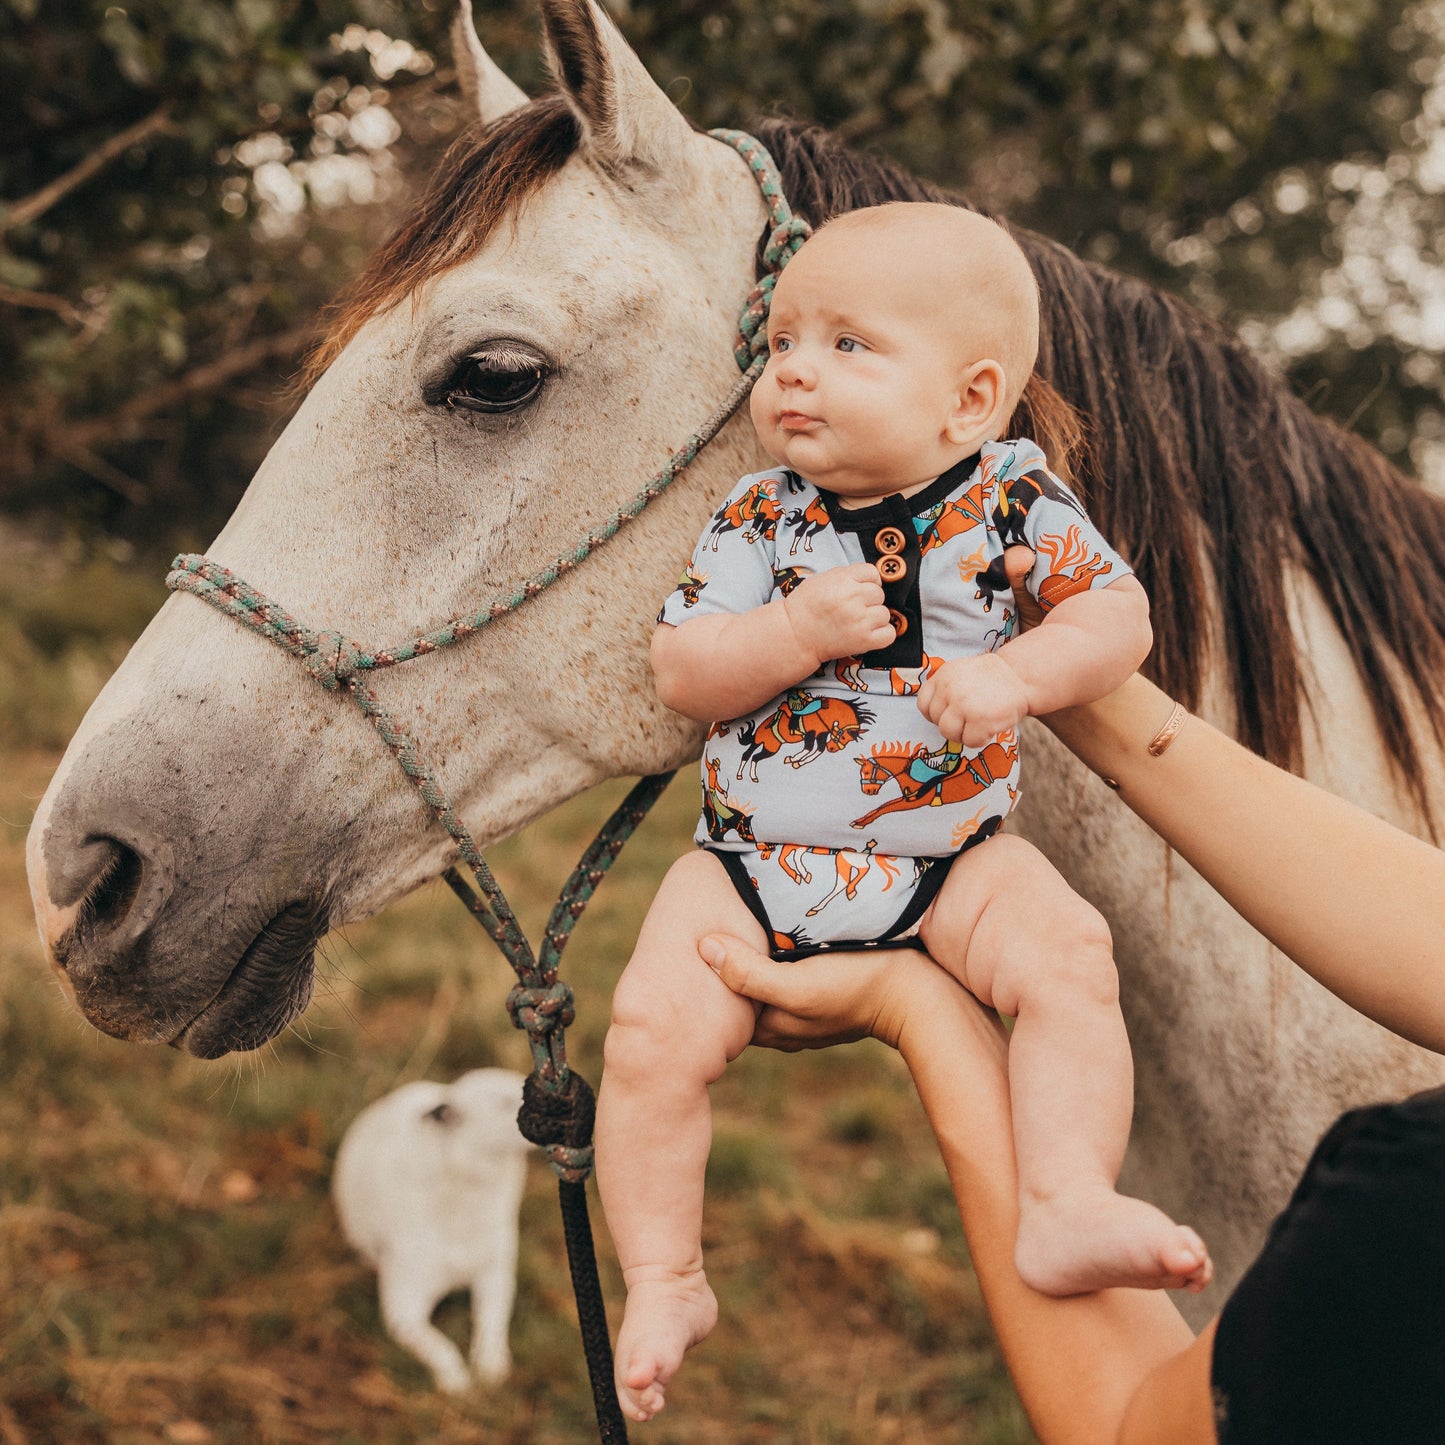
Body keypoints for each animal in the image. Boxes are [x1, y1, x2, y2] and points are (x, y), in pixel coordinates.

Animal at [333, 1069, 537, 1392]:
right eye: (506, 1100)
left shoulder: (495, 1278)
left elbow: (490, 1325)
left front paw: (491, 1365)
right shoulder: (403, 1310)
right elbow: (440, 1347)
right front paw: (457, 1382)